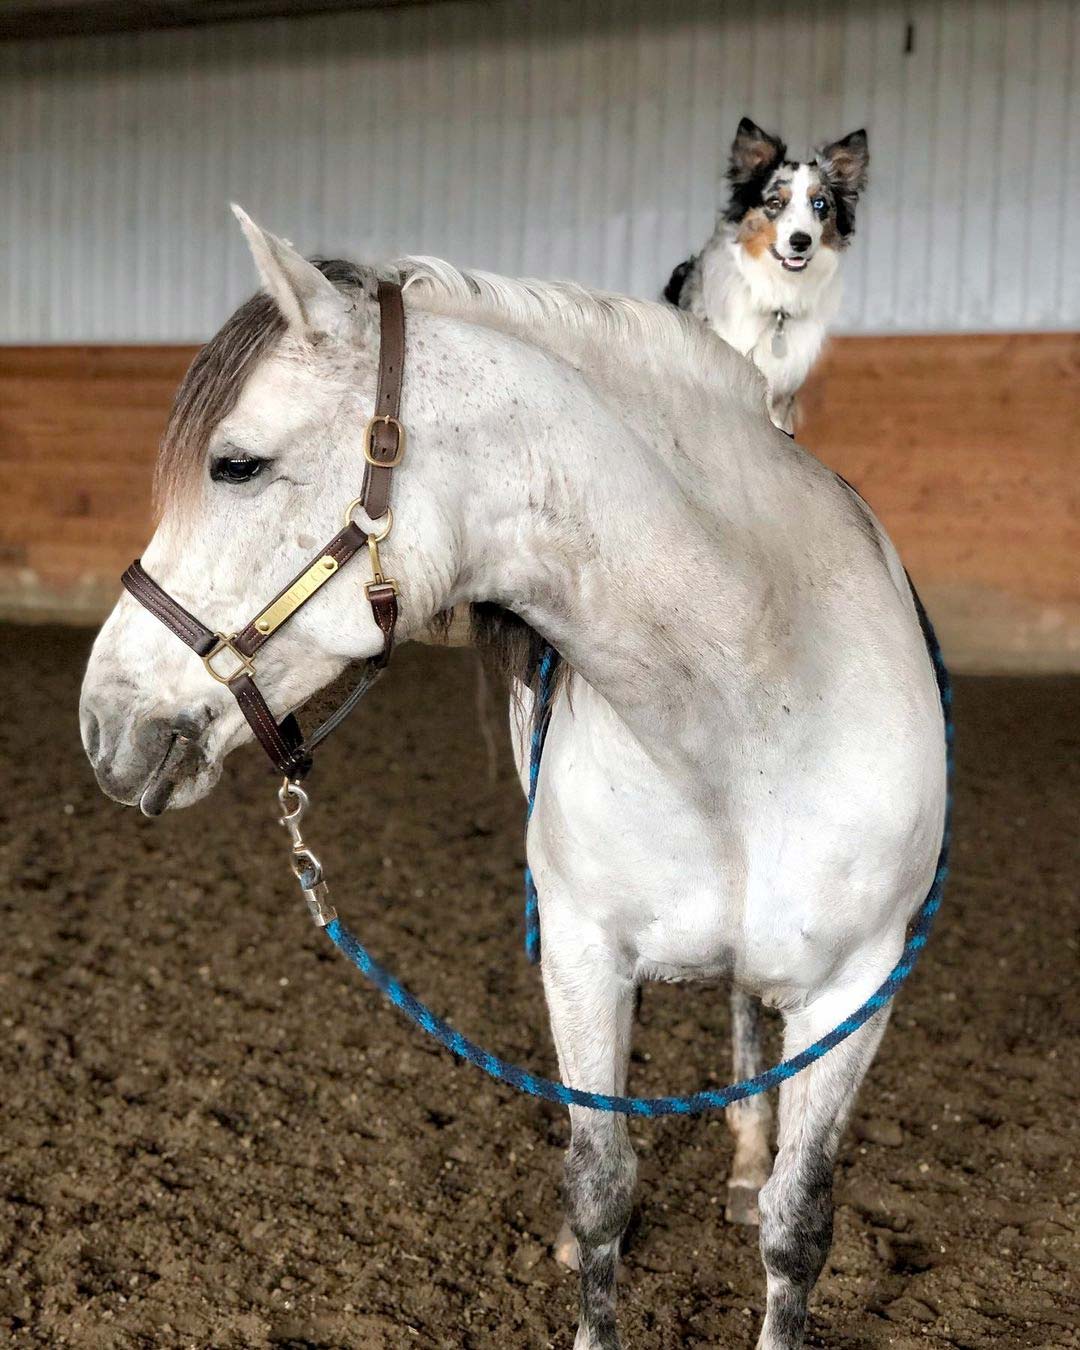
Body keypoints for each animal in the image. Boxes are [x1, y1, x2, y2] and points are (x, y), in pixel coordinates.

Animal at [82, 205, 945, 1344]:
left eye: (234, 464)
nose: (104, 723)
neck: (757, 705)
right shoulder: (580, 956)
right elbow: (602, 1182)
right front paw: (587, 1249)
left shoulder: (857, 990)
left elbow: (798, 1225)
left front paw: (769, 1196)